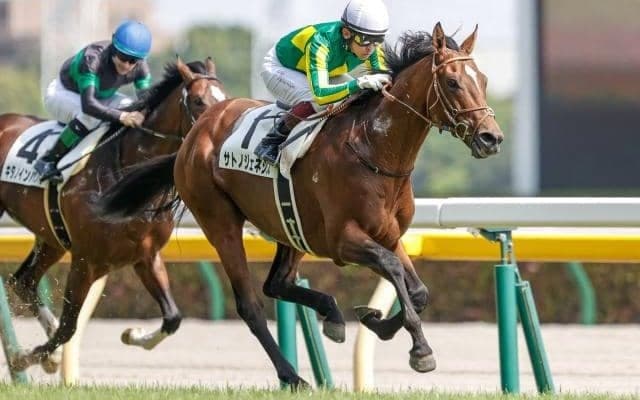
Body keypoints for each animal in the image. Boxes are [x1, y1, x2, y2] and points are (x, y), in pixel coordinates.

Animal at [0, 57, 225, 373]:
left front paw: (133, 334)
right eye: (197, 100)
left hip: (51, 239)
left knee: (24, 281)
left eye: (225, 98)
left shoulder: (146, 255)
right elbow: (68, 327)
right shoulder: (85, 260)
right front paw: (26, 358)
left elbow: (173, 318)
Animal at [97, 23, 503, 388]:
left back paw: (332, 315)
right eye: (452, 82)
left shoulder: (388, 234)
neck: (374, 150)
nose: (491, 137)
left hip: (290, 228)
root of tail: (193, 137)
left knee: (277, 283)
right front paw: (420, 350)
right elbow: (392, 269)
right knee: (250, 305)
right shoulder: (343, 241)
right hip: (220, 222)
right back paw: (292, 375)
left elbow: (417, 290)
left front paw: (375, 320)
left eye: (483, 80)